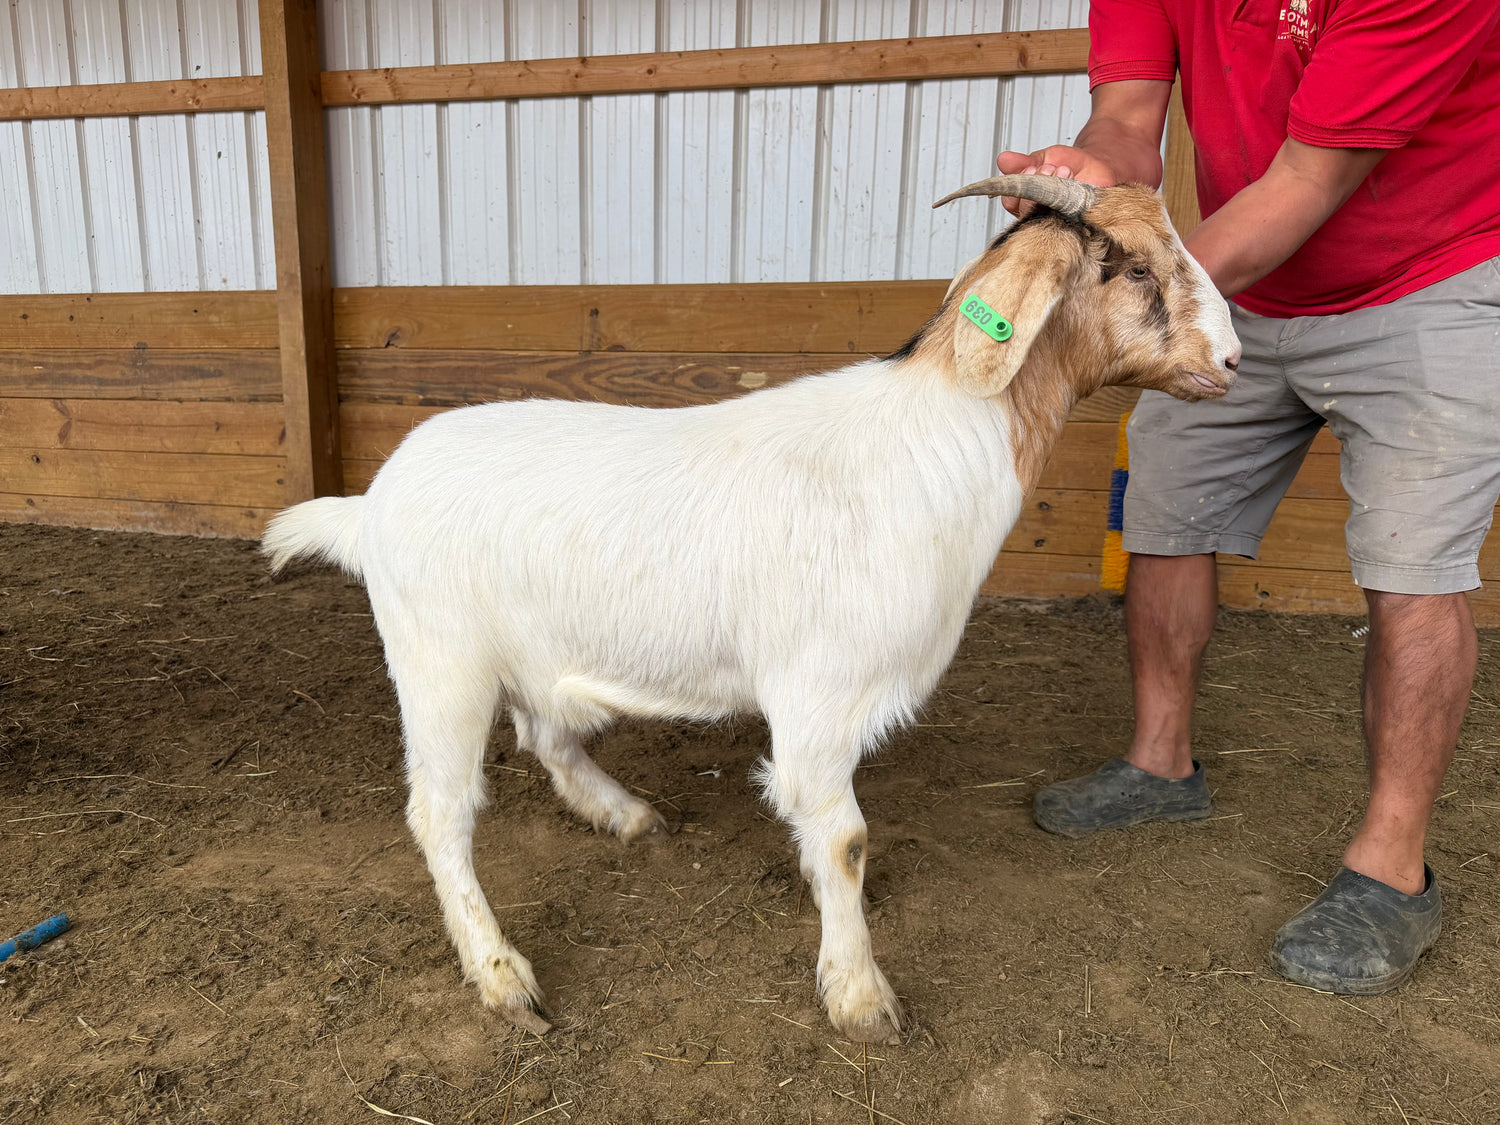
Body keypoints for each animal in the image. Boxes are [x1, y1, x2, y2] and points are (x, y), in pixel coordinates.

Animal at [264, 175, 1240, 1044]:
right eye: (1136, 268)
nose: (1232, 360)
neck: (931, 443)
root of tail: (371, 501)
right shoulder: (818, 692)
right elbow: (842, 836)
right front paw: (860, 996)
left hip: (531, 657)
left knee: (545, 736)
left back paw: (624, 814)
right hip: (441, 665)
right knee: (441, 813)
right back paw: (503, 976)